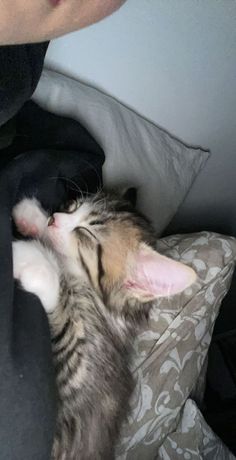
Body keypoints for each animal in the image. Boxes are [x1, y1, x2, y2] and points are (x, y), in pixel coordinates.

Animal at [11, 190, 195, 460]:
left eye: (85, 232)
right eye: (71, 206)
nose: (53, 219)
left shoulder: (78, 384)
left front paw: (32, 260)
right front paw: (33, 217)